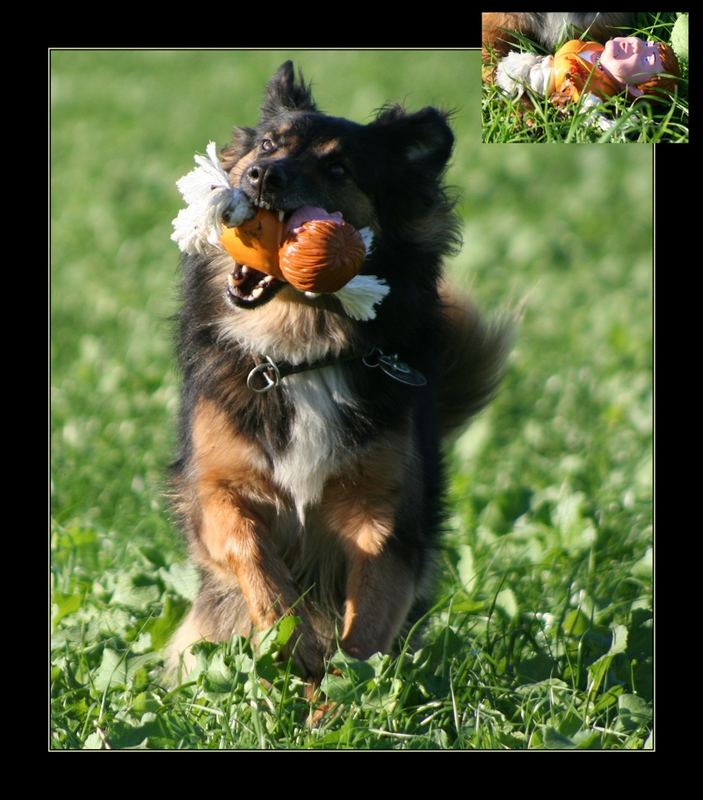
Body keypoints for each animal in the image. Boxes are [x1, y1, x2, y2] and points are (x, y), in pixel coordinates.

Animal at [168, 59, 516, 680]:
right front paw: (290, 633)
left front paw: (347, 688)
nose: (260, 176)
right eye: (267, 144)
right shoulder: (215, 486)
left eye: (337, 168)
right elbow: (249, 548)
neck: (303, 354)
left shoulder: (385, 517)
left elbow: (367, 620)